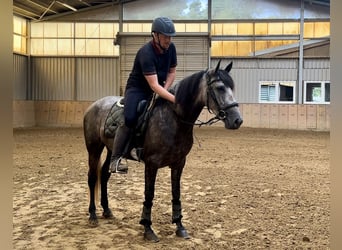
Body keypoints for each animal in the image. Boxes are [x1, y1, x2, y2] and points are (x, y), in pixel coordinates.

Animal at [83, 60, 243, 242]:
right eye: (220, 88)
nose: (237, 120)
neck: (174, 119)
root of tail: (93, 105)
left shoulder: (179, 163)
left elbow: (176, 193)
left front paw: (180, 226)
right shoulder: (151, 164)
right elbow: (149, 195)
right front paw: (147, 228)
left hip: (111, 149)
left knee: (104, 174)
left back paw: (107, 211)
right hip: (94, 148)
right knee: (92, 178)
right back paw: (93, 215)